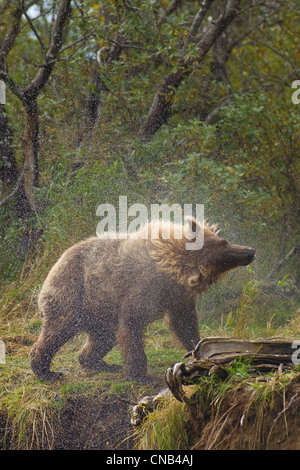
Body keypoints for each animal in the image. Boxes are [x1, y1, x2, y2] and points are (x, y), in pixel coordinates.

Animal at [30, 217, 255, 382]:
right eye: (223, 253)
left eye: (224, 241)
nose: (250, 251)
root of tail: (57, 262)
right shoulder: (142, 289)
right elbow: (131, 324)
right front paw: (139, 374)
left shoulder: (176, 297)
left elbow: (184, 324)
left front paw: (200, 350)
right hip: (74, 292)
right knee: (58, 329)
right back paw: (46, 371)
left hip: (100, 312)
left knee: (103, 337)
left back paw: (102, 364)